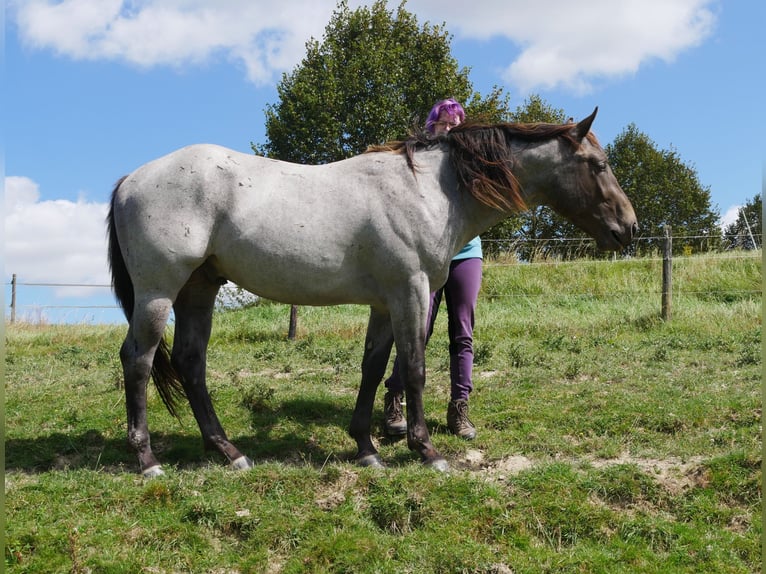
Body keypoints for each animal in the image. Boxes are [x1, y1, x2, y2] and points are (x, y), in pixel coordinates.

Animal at [106, 107, 636, 476]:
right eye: (599, 164)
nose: (628, 228)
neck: (431, 190)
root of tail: (131, 179)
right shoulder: (411, 292)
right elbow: (415, 367)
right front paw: (426, 449)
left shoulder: (384, 303)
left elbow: (374, 367)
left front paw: (366, 448)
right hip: (159, 292)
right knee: (139, 359)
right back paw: (147, 460)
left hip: (199, 289)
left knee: (191, 362)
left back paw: (228, 451)